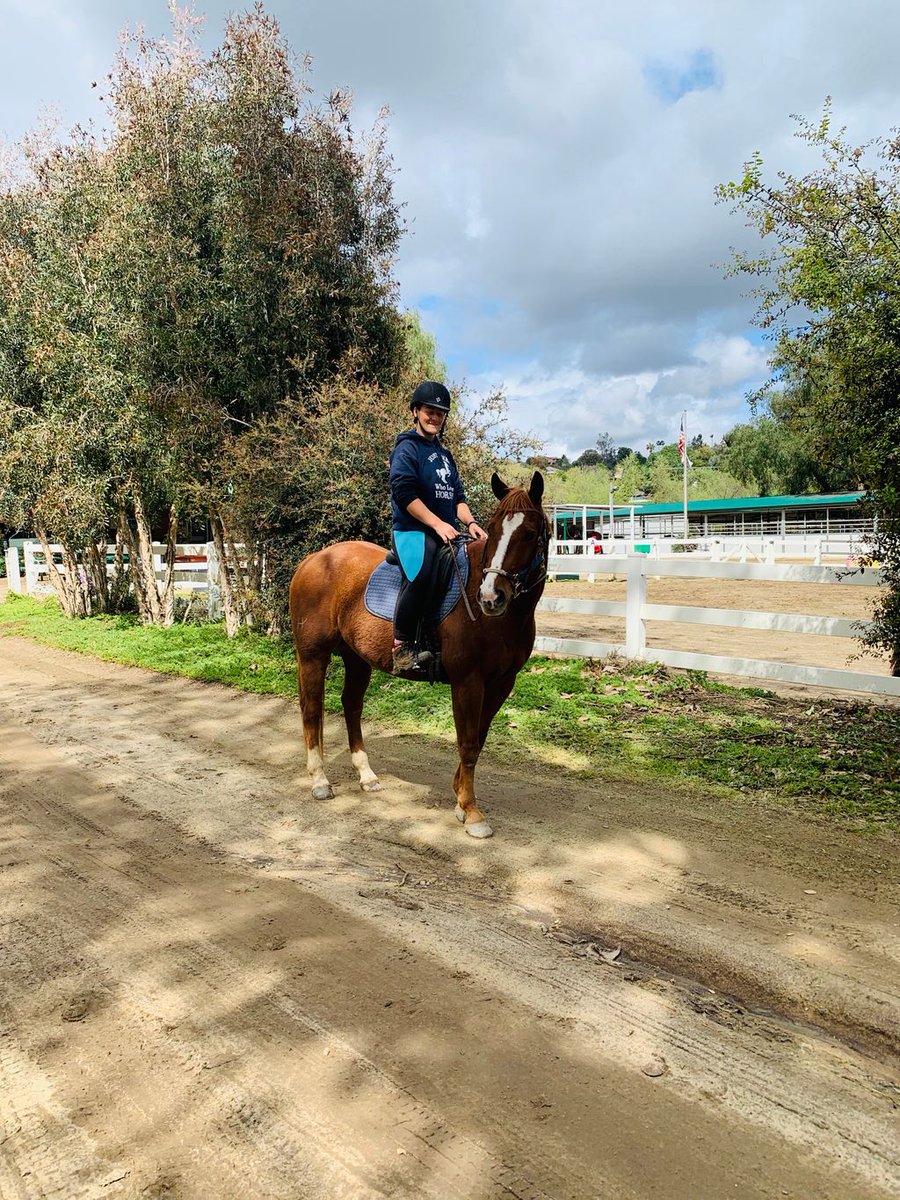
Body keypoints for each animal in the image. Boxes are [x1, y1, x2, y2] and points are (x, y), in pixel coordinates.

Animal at [288, 471, 548, 838]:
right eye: (494, 528)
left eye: (529, 534)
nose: (490, 597)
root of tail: (314, 560)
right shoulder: (467, 681)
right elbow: (468, 743)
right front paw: (471, 811)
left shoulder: (501, 683)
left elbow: (479, 739)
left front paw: (459, 797)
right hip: (313, 656)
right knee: (312, 710)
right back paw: (320, 781)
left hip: (356, 659)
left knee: (351, 706)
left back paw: (366, 775)